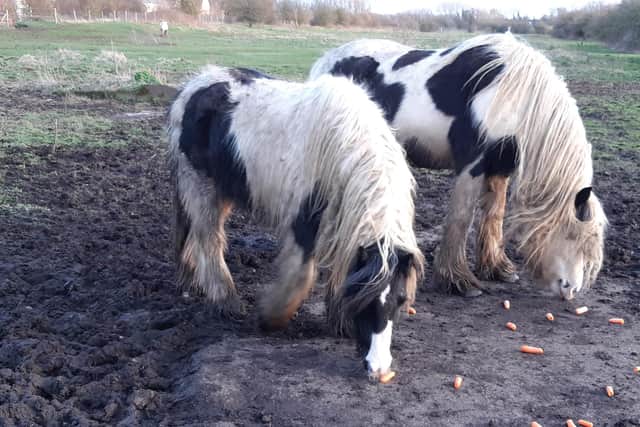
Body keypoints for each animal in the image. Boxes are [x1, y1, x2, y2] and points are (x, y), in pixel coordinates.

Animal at [167, 66, 424, 377]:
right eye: (366, 301)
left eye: (401, 300)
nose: (378, 368)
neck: (342, 148)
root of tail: (194, 84)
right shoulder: (303, 221)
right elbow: (301, 276)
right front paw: (271, 317)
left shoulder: (342, 225)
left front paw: (339, 322)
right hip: (200, 186)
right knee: (208, 240)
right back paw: (225, 300)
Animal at [309, 33, 607, 300]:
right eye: (572, 234)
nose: (571, 289)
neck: (515, 95)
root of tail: (323, 65)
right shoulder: (472, 163)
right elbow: (461, 218)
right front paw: (459, 281)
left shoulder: (500, 167)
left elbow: (494, 215)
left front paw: (497, 268)